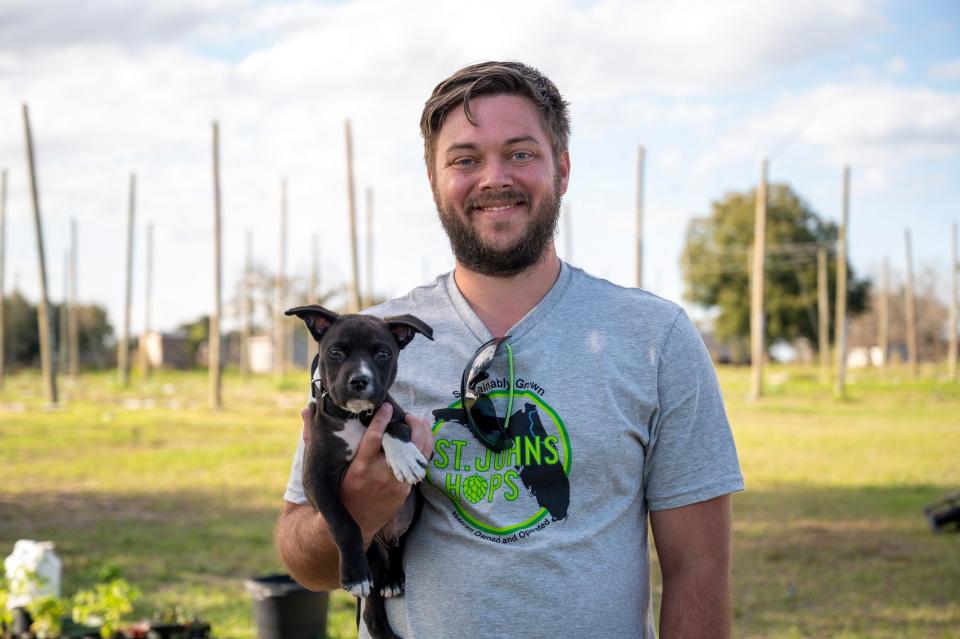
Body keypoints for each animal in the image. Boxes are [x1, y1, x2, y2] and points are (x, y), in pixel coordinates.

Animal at [286, 304, 434, 639]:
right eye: (336, 352)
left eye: (382, 354)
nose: (359, 381)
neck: (352, 417)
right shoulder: (317, 479)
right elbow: (344, 523)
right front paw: (353, 574)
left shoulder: (396, 412)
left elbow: (389, 418)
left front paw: (403, 454)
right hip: (372, 564)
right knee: (371, 613)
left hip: (414, 510)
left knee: (400, 545)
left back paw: (394, 579)